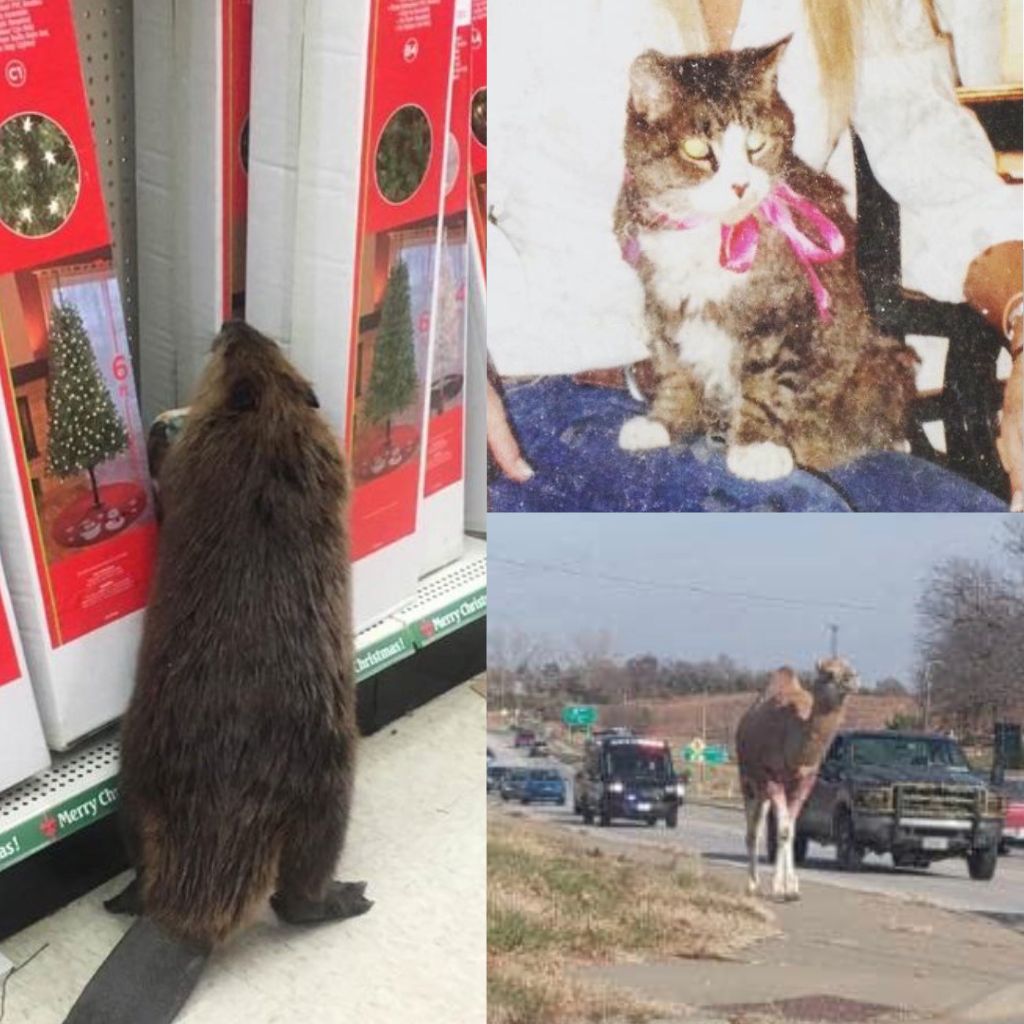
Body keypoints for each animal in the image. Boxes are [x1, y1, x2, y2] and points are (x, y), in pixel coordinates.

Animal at [62, 319, 372, 1024]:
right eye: (240, 344)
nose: (233, 323)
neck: (265, 429)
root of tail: (184, 924)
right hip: (315, 793)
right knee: (292, 896)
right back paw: (351, 896)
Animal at [610, 38, 917, 479]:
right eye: (697, 150)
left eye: (755, 144)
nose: (740, 185)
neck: (717, 234)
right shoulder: (664, 305)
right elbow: (675, 369)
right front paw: (663, 421)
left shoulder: (786, 317)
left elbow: (767, 383)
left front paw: (757, 446)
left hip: (880, 367)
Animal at [733, 659, 860, 901]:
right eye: (829, 674)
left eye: (851, 670)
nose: (852, 681)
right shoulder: (772, 776)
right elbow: (782, 829)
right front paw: (778, 887)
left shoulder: (805, 782)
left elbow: (790, 830)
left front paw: (791, 888)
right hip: (748, 779)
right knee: (752, 831)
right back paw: (752, 885)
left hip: (763, 791)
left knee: (760, 826)